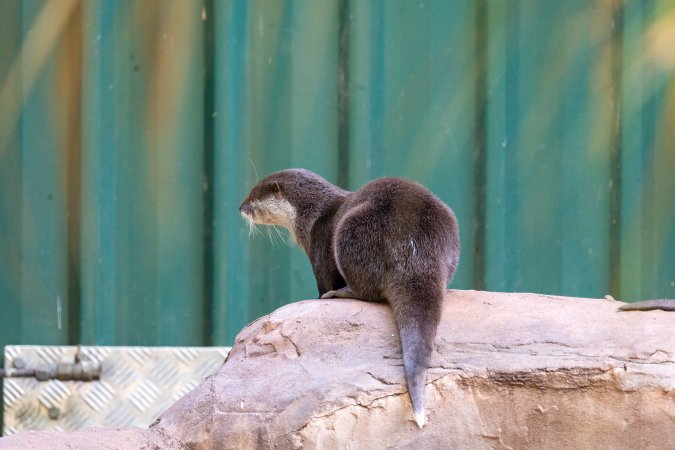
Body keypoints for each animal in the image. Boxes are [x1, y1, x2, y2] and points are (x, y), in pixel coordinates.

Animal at [239, 168, 460, 428]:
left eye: (254, 195)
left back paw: (341, 293)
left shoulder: (319, 244)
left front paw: (322, 296)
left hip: (352, 231)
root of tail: (418, 251)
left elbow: (324, 282)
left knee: (366, 290)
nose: (241, 207)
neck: (312, 215)